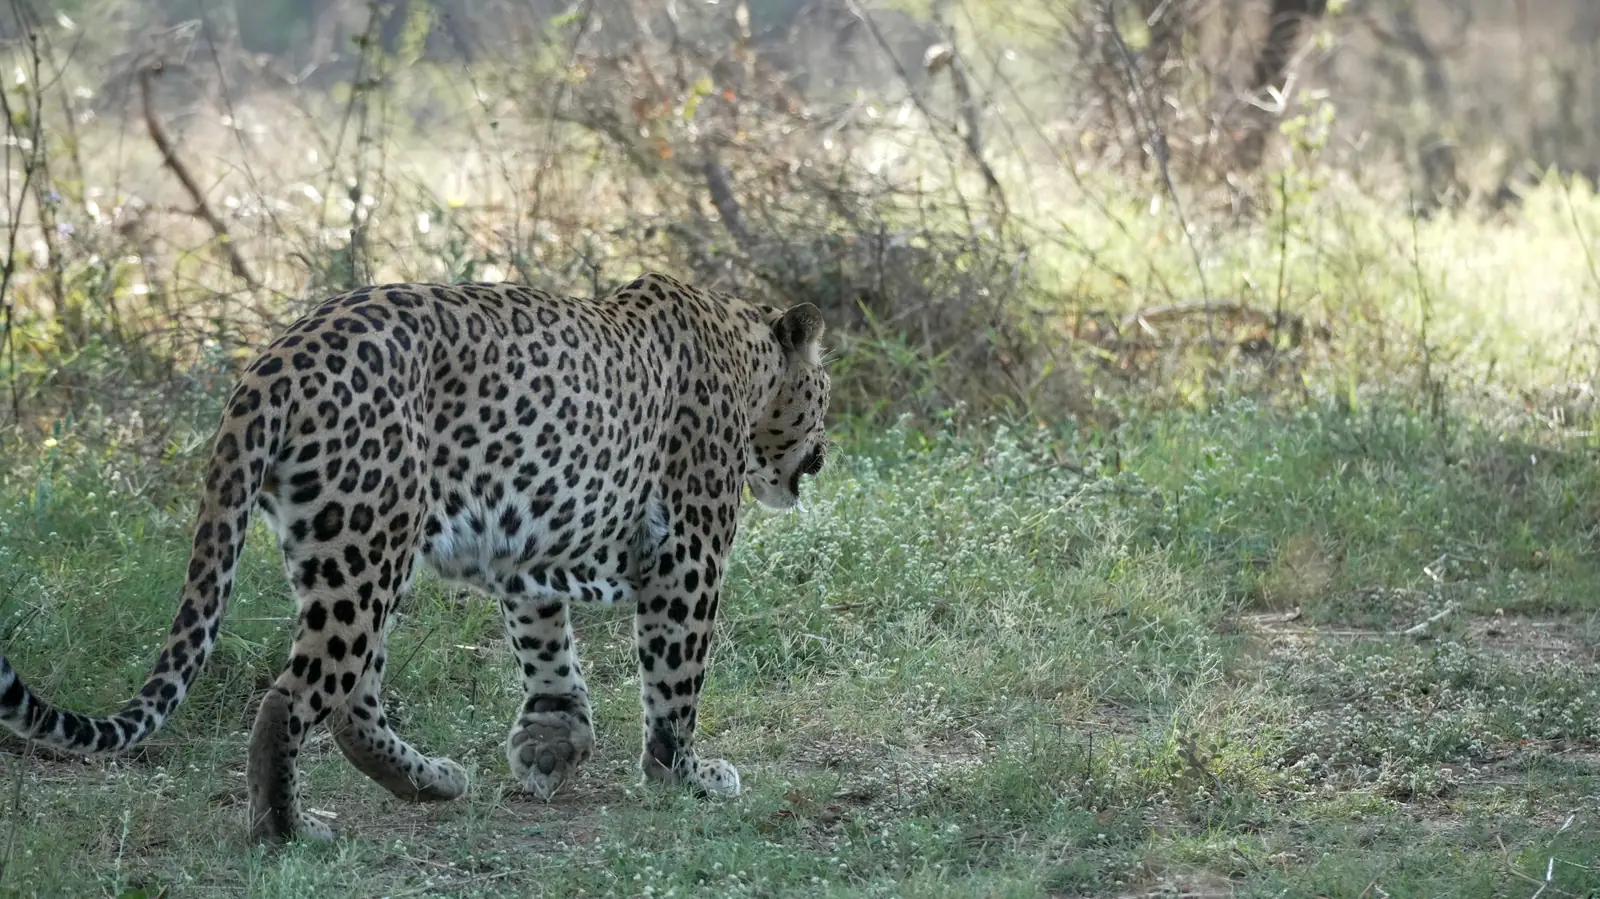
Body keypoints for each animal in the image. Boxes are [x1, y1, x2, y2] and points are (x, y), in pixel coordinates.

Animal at [0, 272, 830, 843]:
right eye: (825, 386)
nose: (826, 448)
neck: (747, 356)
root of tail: (276, 358)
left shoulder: (528, 544)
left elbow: (549, 650)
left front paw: (550, 744)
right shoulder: (690, 550)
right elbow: (676, 677)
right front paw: (685, 773)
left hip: (347, 547)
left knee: (349, 700)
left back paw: (427, 781)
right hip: (367, 546)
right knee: (295, 697)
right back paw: (288, 830)